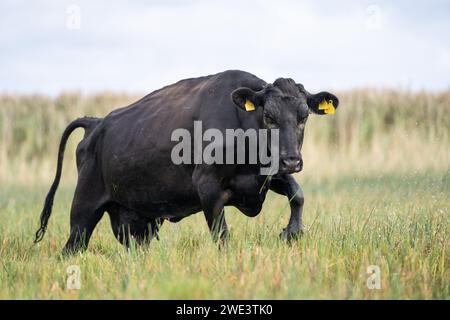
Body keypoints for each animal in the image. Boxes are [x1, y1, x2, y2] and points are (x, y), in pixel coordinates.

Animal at [35, 69, 338, 252]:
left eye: (304, 116)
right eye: (269, 116)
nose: (292, 161)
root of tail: (95, 122)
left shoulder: (265, 175)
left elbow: (297, 194)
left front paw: (292, 232)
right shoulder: (208, 187)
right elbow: (222, 236)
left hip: (136, 221)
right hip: (83, 210)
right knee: (72, 247)